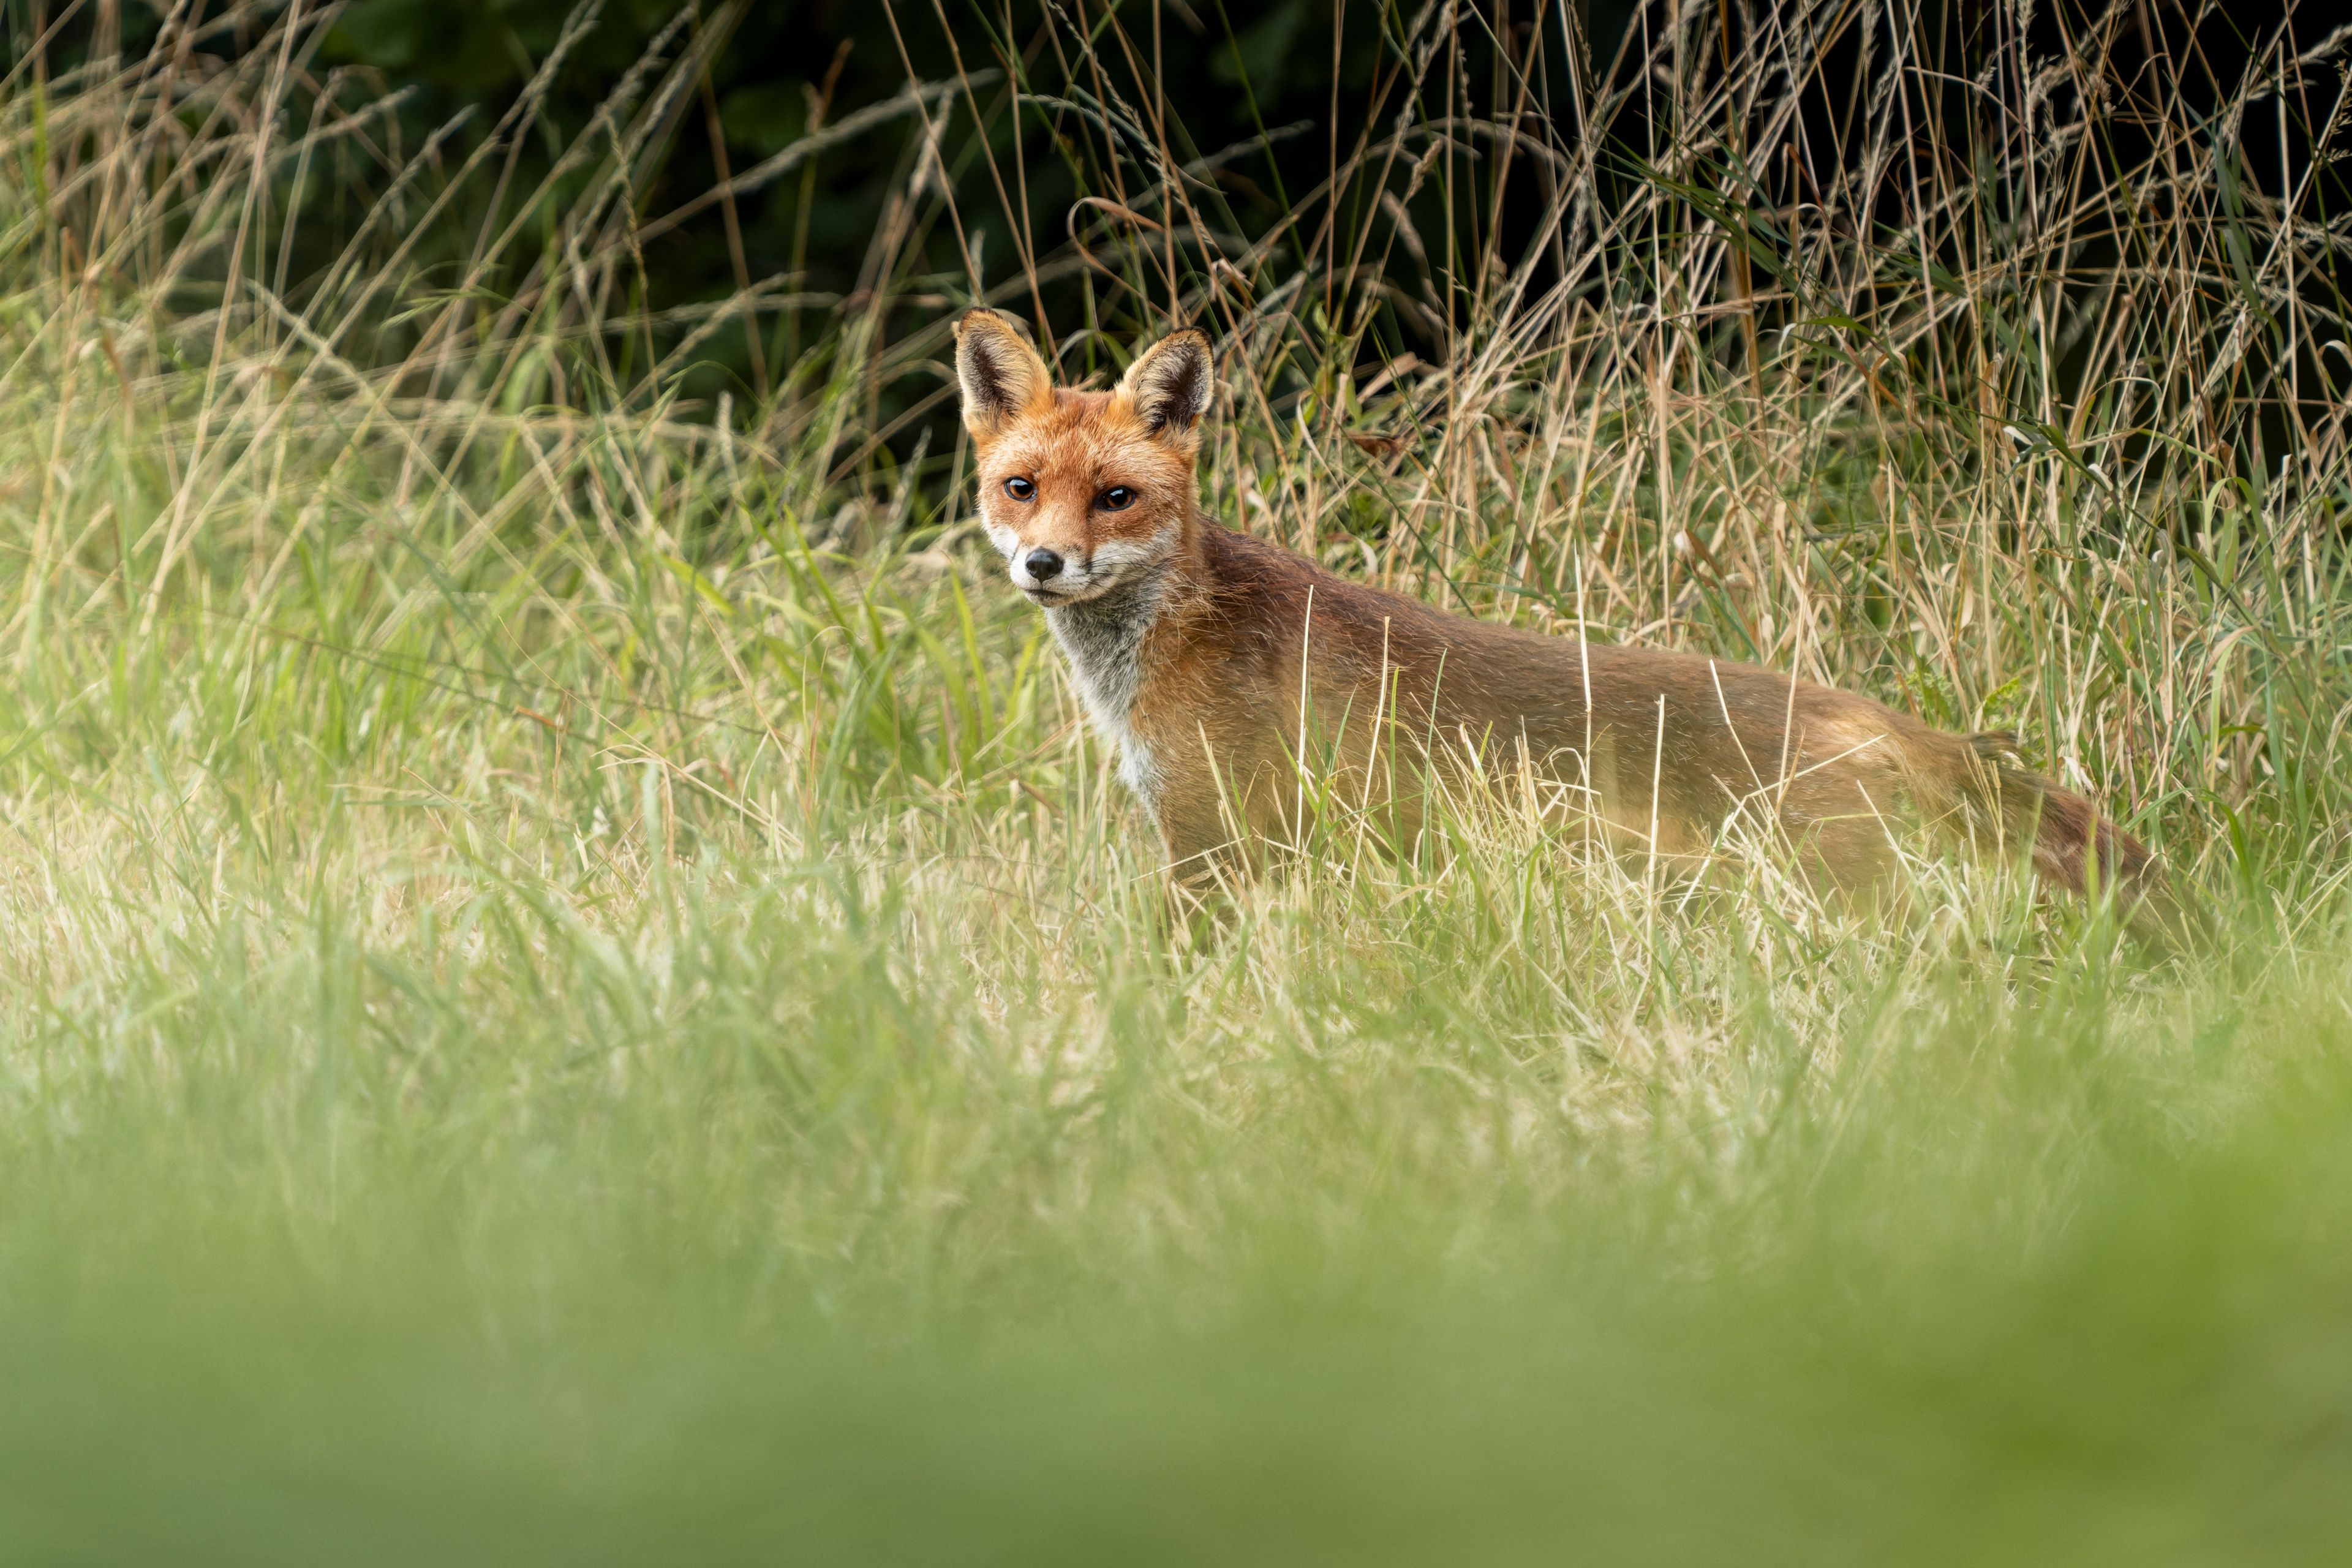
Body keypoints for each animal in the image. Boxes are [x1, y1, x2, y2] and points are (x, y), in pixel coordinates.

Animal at [952, 306, 2194, 943]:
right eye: (1021, 488)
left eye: (1117, 497)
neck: (1157, 658)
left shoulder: (1214, 844)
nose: (1046, 563)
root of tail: (1887, 718)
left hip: (1817, 884)